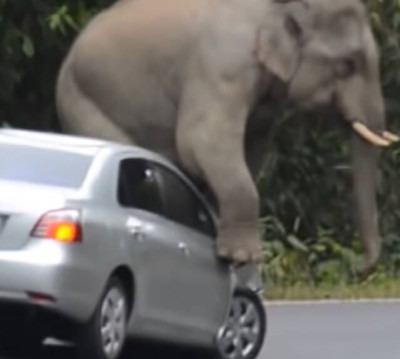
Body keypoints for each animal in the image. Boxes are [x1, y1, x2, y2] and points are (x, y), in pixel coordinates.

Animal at [55, 0, 396, 272]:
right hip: (82, 100)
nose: (359, 266)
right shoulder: (223, 66)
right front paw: (243, 257)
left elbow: (249, 149)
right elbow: (201, 140)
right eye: (347, 64)